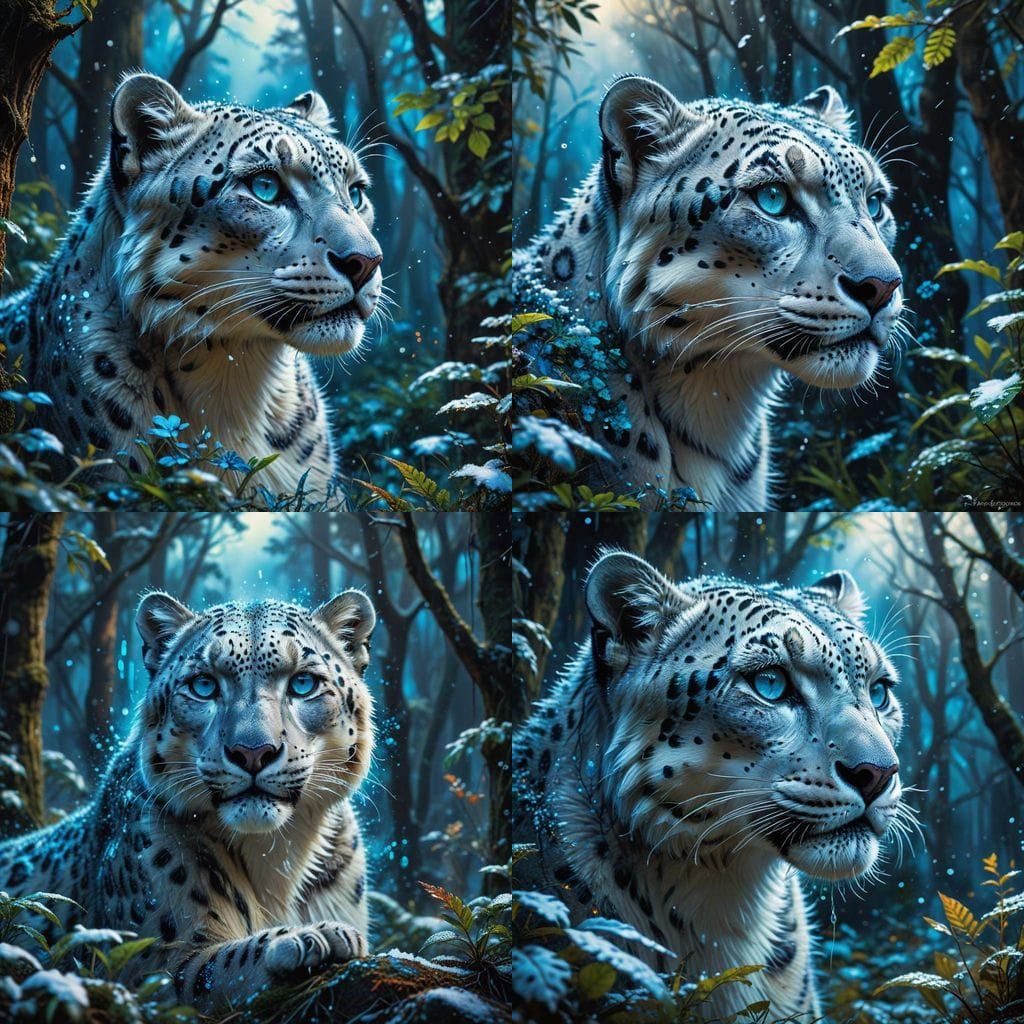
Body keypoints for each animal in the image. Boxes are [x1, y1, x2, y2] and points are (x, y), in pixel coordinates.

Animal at [0, 588, 377, 1013]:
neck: (275, 855)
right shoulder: (151, 963)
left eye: (303, 683)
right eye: (203, 686)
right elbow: (219, 966)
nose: (252, 752)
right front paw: (308, 939)